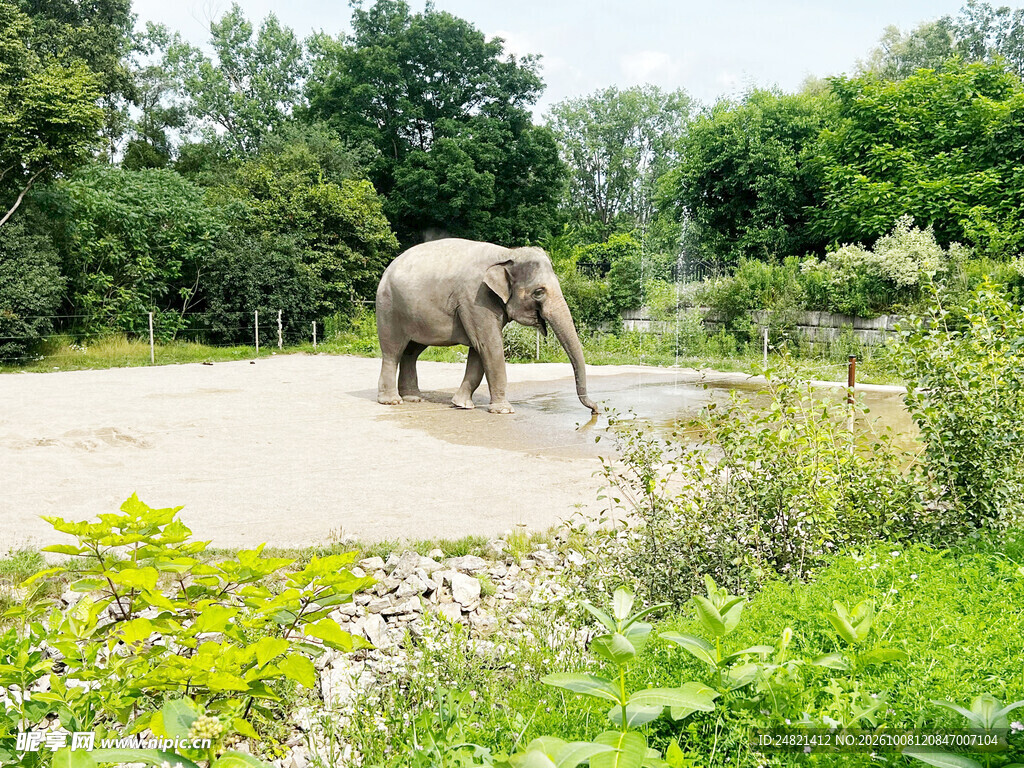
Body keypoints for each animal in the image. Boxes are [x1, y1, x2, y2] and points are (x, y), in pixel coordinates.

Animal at [375, 238, 599, 415]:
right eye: (538, 292)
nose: (596, 410)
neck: (508, 253)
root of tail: (387, 269)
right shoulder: (476, 298)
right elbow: (489, 346)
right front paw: (504, 411)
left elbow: (479, 351)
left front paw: (462, 404)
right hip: (389, 307)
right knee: (393, 351)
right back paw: (392, 401)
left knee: (411, 352)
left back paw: (413, 398)